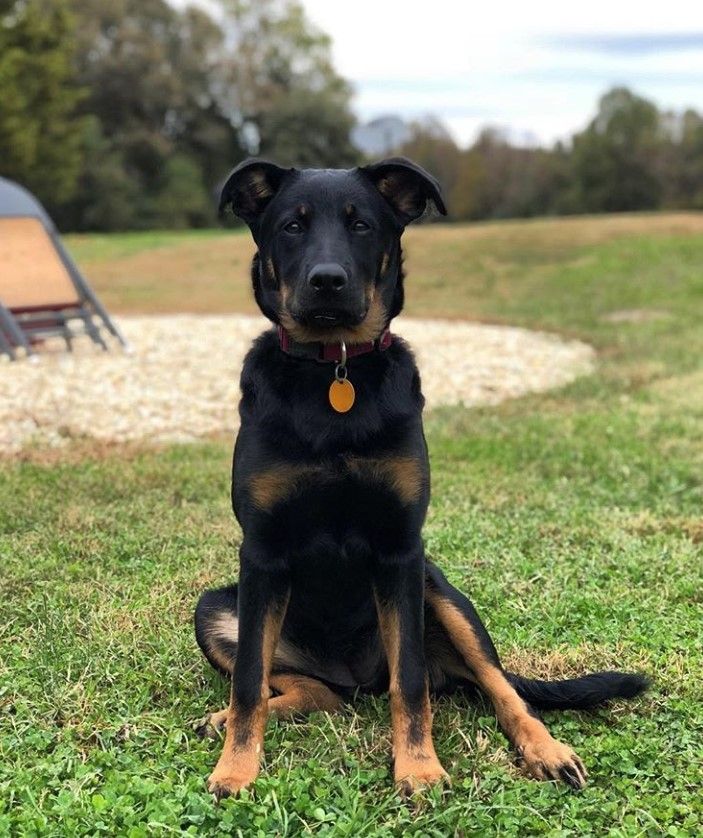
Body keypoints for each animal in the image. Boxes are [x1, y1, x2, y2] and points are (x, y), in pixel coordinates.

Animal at [192, 159, 648, 800]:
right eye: (291, 226)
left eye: (361, 225)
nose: (327, 282)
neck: (334, 372)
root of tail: (356, 677)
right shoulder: (262, 553)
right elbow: (250, 683)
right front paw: (235, 769)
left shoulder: (402, 550)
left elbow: (409, 682)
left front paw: (420, 770)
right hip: (215, 609)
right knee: (314, 691)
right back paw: (229, 719)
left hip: (441, 594)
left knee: (498, 688)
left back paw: (548, 750)